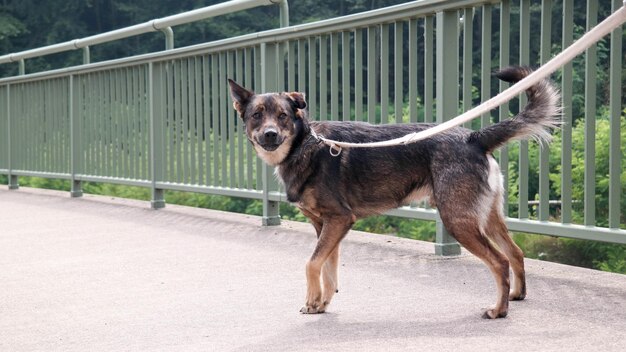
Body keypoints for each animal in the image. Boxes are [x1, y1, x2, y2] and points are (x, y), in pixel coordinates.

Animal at [227, 66, 560, 320]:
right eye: (257, 115)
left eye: (283, 115)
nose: (270, 134)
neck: (305, 144)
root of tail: (474, 138)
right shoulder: (325, 225)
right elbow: (327, 267)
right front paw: (322, 302)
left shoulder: (339, 220)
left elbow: (311, 263)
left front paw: (312, 302)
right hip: (487, 217)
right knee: (515, 253)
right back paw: (517, 295)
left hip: (458, 221)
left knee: (500, 261)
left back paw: (498, 310)